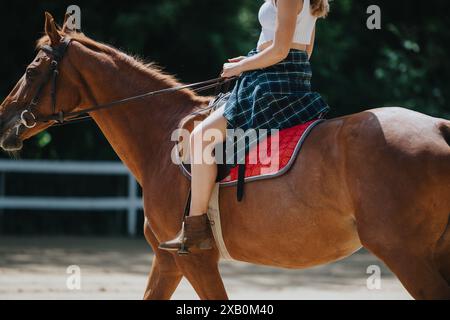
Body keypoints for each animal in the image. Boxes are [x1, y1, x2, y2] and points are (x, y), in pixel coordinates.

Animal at [0, 13, 450, 300]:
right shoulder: (167, 261)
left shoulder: (195, 261)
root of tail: (439, 128)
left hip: (407, 255)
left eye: (33, 70)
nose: (4, 119)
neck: (161, 135)